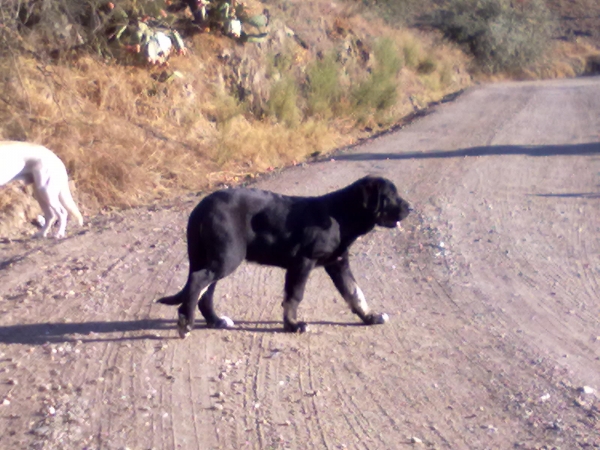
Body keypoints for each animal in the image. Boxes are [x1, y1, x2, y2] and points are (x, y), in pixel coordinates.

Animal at [157, 176, 410, 338]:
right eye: (390, 196)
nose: (411, 209)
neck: (340, 216)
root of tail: (201, 206)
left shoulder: (338, 264)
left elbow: (355, 293)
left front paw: (370, 318)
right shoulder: (302, 262)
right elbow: (294, 296)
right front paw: (293, 325)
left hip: (214, 257)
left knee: (204, 292)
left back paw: (215, 321)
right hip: (227, 257)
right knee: (197, 281)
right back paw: (185, 324)